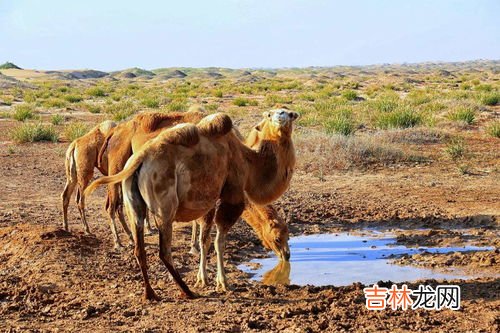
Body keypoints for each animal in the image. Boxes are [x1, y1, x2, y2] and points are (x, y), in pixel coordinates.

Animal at [85, 109, 296, 298]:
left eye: (289, 113)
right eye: (278, 238)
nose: (287, 255)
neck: (248, 160)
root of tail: (139, 159)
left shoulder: (208, 199)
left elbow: (205, 239)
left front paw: (203, 278)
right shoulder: (232, 195)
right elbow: (218, 241)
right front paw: (222, 283)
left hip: (133, 199)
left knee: (139, 247)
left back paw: (150, 293)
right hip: (163, 204)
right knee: (163, 250)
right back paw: (186, 291)